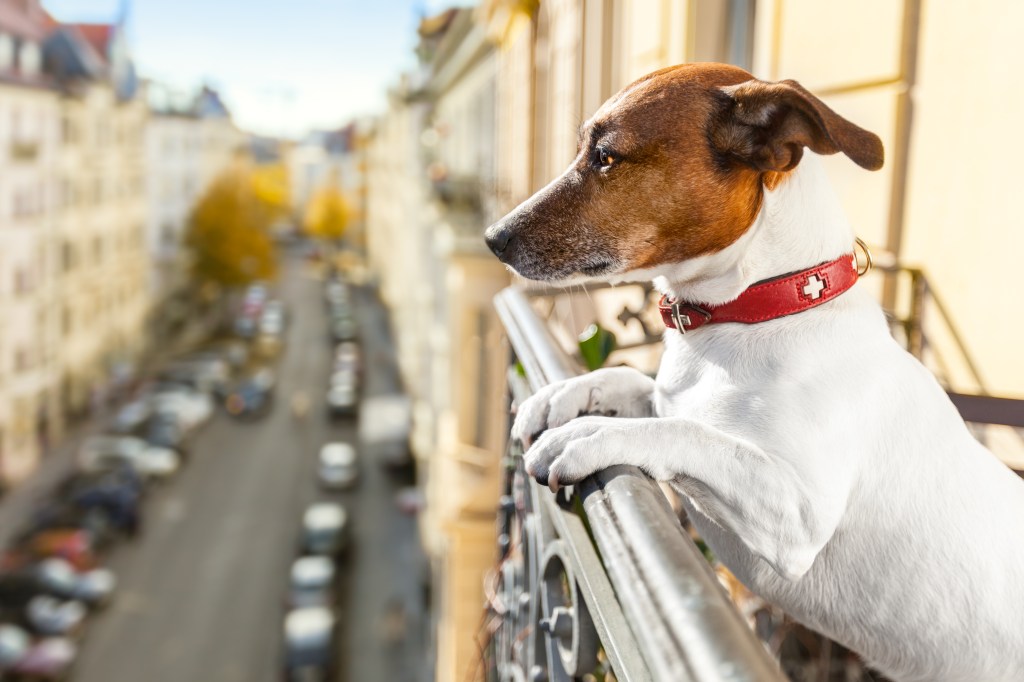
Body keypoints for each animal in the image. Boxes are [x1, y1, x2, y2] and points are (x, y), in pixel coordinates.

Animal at [483, 61, 1024, 675]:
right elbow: (639, 386)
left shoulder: (798, 514)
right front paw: (564, 396)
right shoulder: (672, 395)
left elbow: (688, 432)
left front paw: (591, 433)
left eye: (605, 156)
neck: (756, 309)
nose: (492, 238)